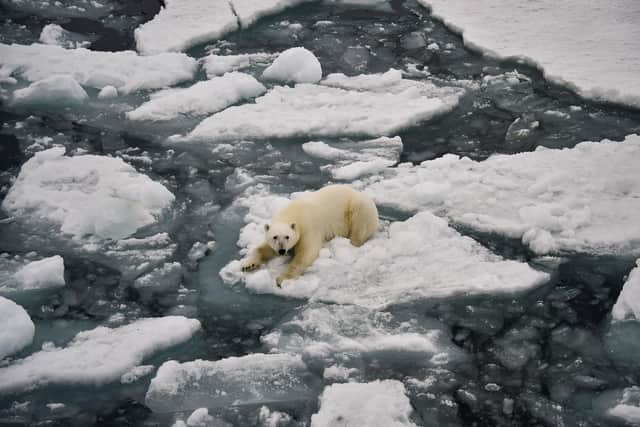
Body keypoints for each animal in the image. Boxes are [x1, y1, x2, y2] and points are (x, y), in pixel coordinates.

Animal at [241, 185, 380, 288]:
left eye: (287, 237)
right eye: (275, 237)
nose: (282, 251)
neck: (294, 212)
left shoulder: (308, 227)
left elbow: (306, 253)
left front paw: (281, 279)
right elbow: (263, 248)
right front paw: (247, 265)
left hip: (358, 208)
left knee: (359, 226)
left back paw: (353, 241)